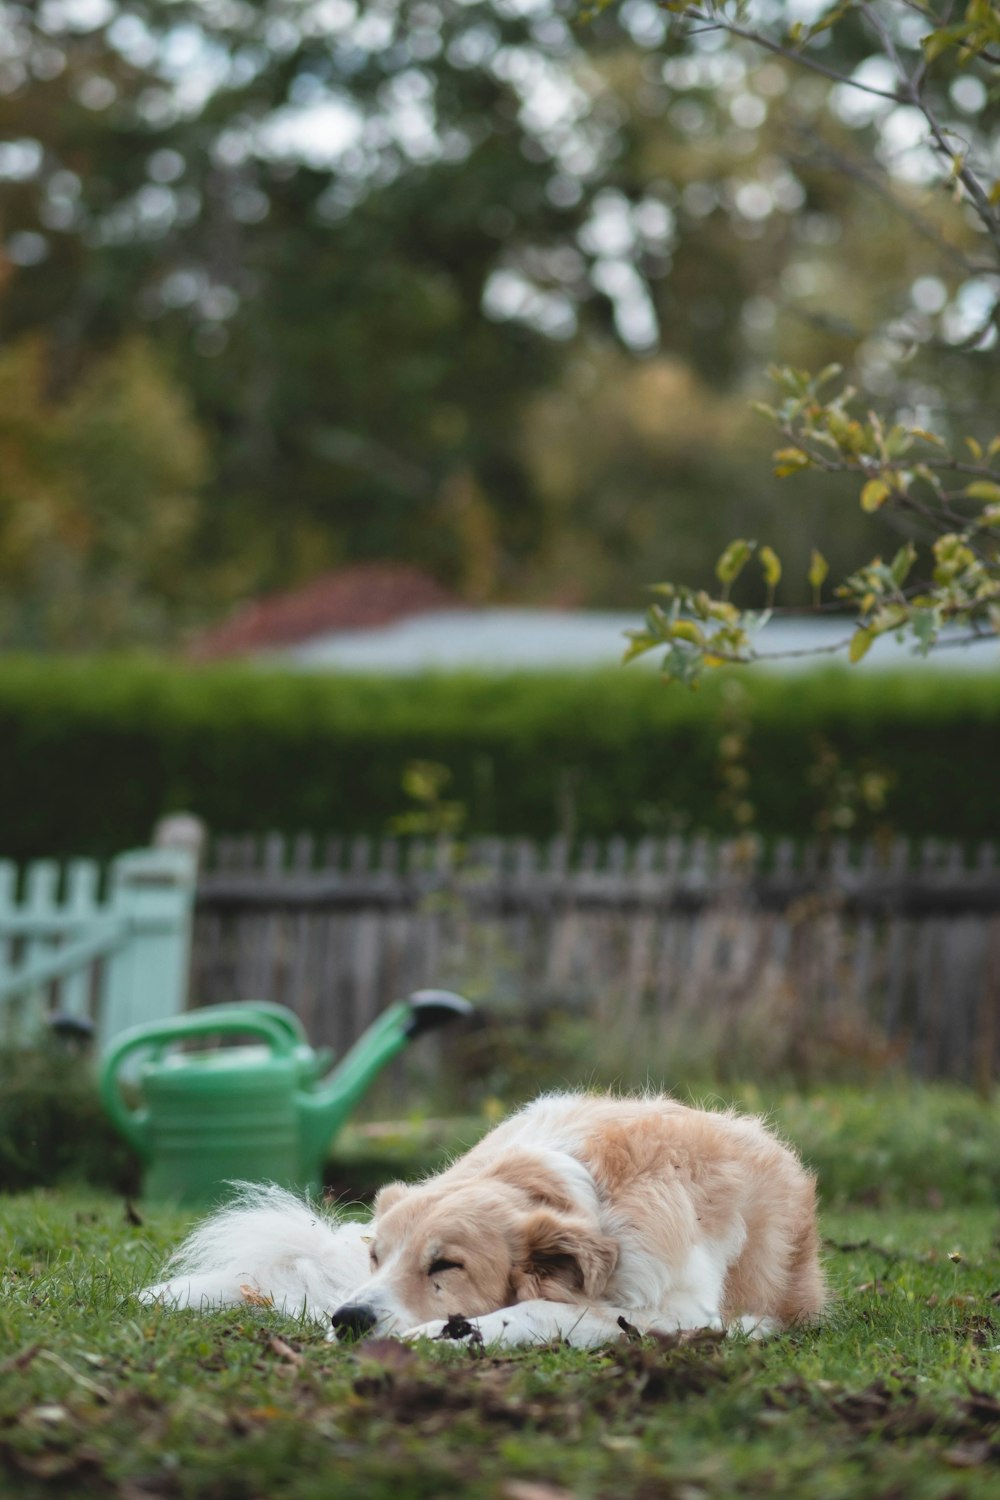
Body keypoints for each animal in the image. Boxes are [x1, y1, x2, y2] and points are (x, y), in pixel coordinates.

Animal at [142, 1092, 827, 1350]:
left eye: (446, 1264)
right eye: (378, 1256)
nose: (349, 1321)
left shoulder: (678, 1313)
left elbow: (536, 1310)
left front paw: (437, 1335)